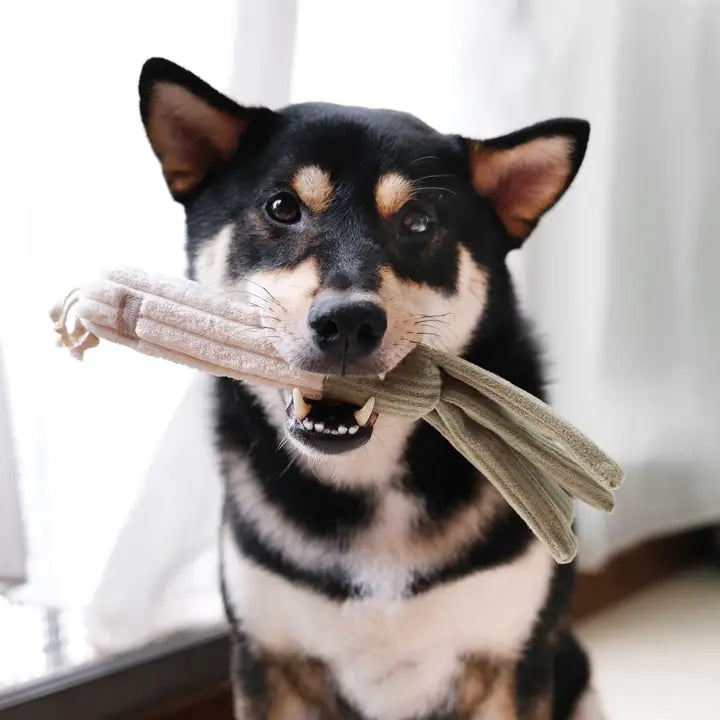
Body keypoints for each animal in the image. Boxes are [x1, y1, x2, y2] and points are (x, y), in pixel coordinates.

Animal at [138, 59, 600, 720]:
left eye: (418, 222)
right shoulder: (266, 659)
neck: (368, 482)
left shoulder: (514, 660)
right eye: (282, 207)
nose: (348, 322)